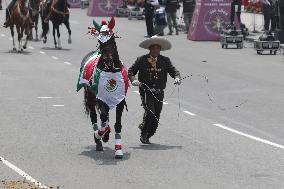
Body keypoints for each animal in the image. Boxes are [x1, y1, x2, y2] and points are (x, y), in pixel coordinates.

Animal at [76, 18, 128, 159]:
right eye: (100, 42)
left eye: (112, 40)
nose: (108, 60)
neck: (110, 70)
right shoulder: (99, 97)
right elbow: (103, 117)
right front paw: (100, 135)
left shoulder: (120, 99)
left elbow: (117, 123)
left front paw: (118, 149)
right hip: (90, 96)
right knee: (95, 117)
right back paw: (99, 140)